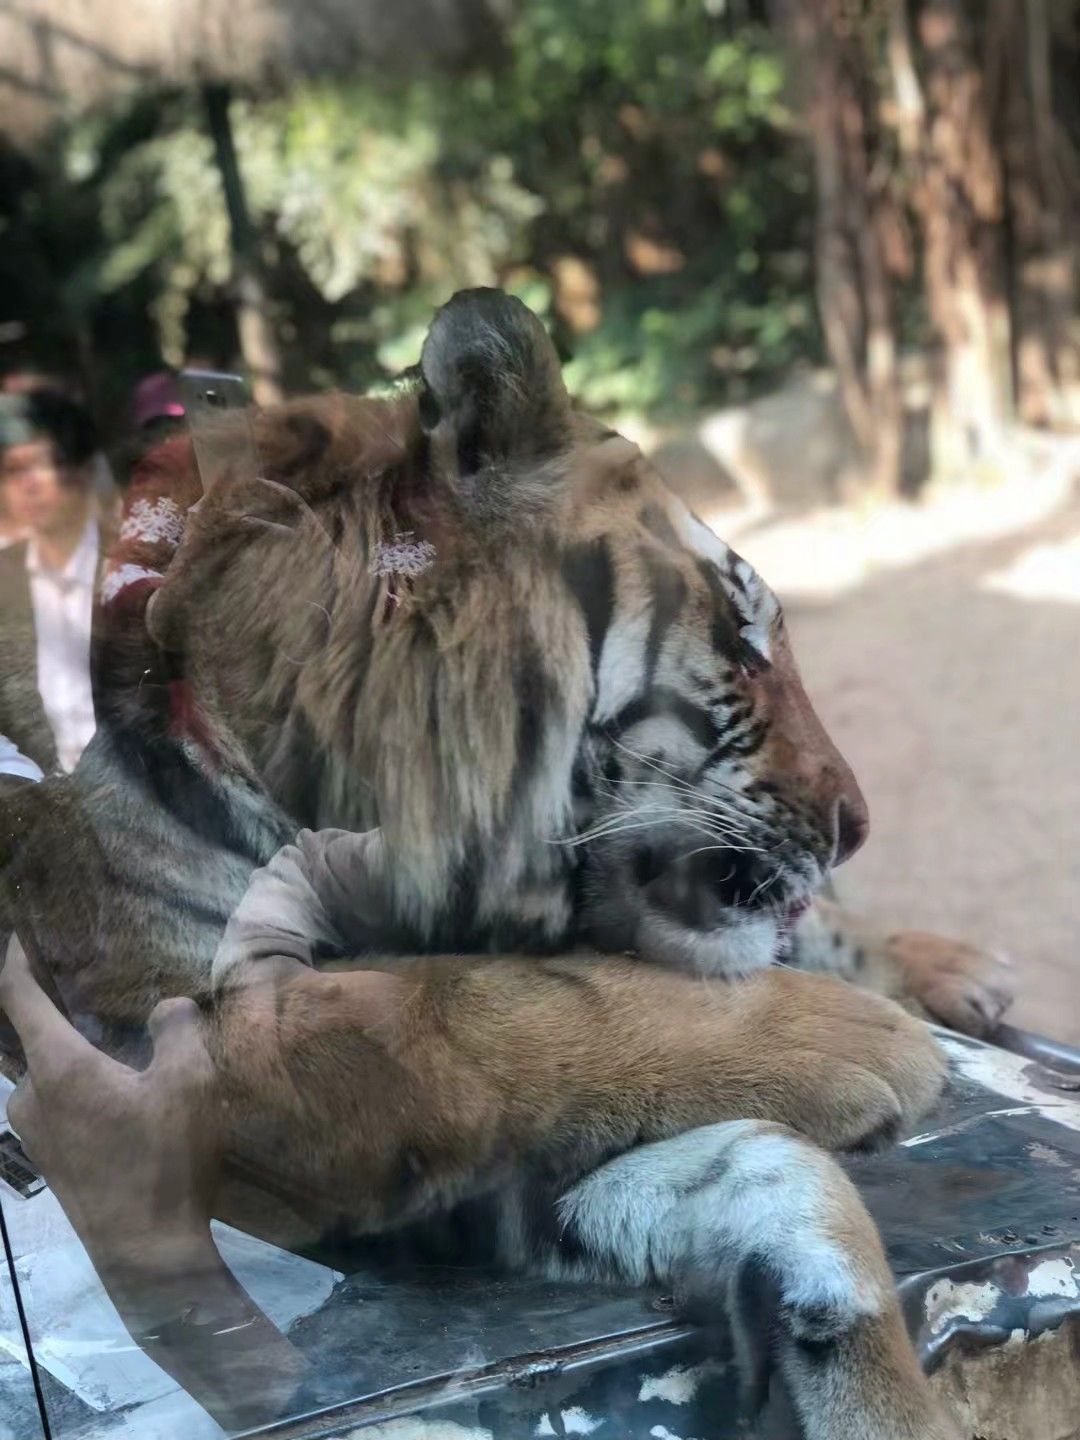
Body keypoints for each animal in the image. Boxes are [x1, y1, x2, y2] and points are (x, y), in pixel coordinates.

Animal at [0, 287, 1005, 1438]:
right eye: (742, 643)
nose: (856, 824)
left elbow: (778, 1177)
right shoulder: (164, 1036)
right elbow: (493, 1005)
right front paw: (860, 1039)